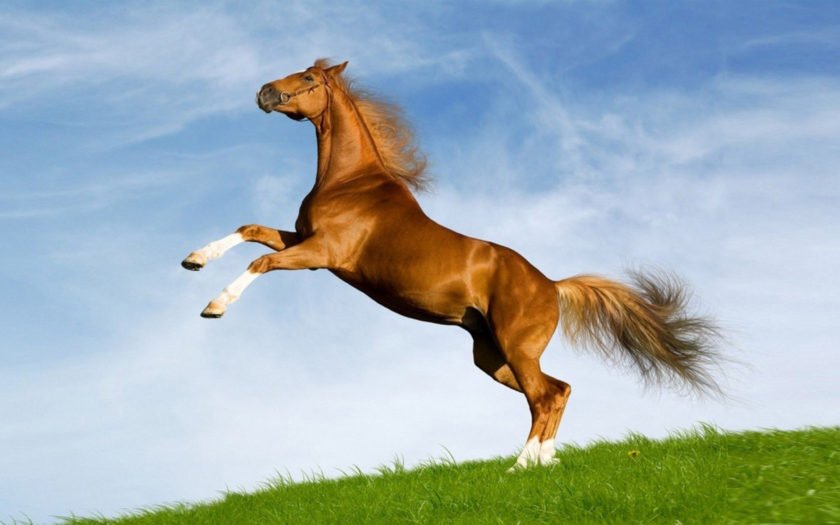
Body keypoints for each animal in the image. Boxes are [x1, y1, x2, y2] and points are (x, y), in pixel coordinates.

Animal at [182, 59, 720, 470]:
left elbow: (262, 263)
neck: (351, 182)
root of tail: (552, 285)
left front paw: (214, 306)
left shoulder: (322, 254)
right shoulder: (304, 240)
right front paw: (194, 259)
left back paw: (519, 466)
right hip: (493, 357)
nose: (264, 92)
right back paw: (545, 463)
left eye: (309, 79)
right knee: (559, 390)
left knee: (546, 396)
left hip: (517, 349)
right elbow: (250, 230)